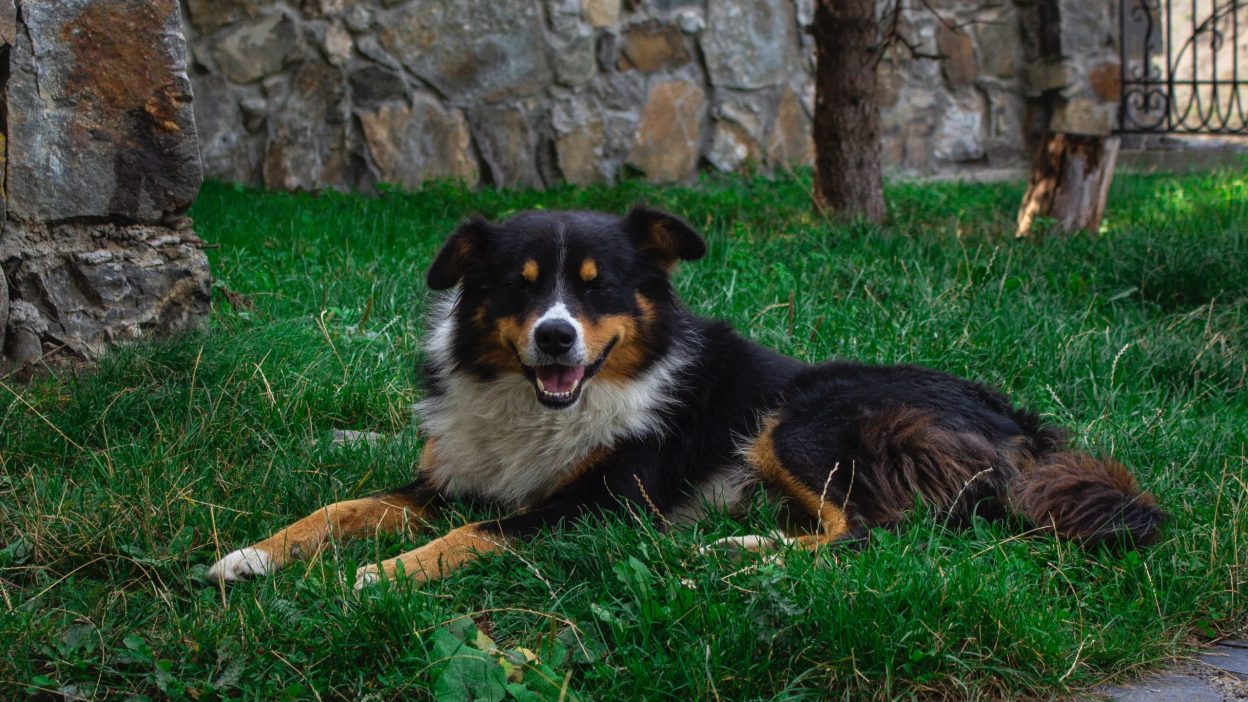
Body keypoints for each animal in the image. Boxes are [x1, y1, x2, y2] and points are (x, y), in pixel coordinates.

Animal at [209, 206, 1163, 584]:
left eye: (599, 289)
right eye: (519, 287)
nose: (555, 337)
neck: (542, 405)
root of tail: (1020, 423)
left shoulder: (601, 505)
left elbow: (477, 534)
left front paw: (380, 576)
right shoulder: (448, 475)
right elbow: (340, 506)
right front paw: (249, 556)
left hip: (802, 417)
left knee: (876, 533)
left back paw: (735, 554)